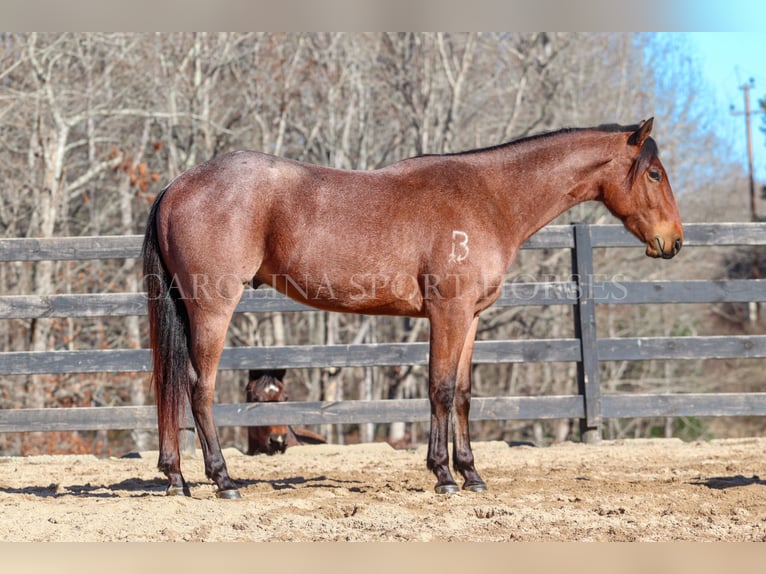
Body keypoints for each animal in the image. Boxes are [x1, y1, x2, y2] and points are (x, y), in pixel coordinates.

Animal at [142, 118, 684, 500]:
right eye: (655, 173)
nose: (674, 241)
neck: (489, 197)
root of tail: (177, 184)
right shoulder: (448, 314)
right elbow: (440, 389)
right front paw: (443, 475)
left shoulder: (471, 318)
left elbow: (462, 393)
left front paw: (471, 473)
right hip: (213, 307)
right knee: (198, 387)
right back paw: (222, 480)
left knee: (170, 384)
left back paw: (175, 478)